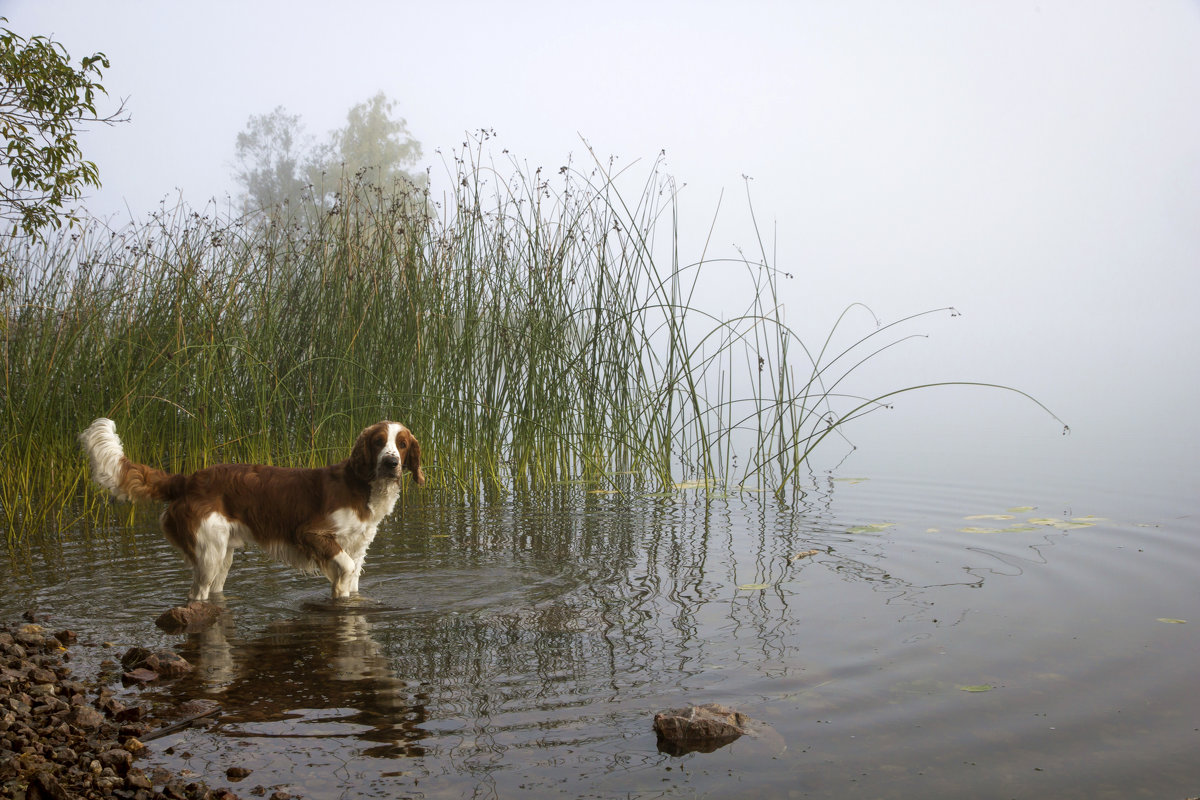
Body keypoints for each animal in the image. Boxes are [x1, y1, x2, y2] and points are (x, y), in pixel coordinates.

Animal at [81, 419, 427, 599]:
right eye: (379, 442)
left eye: (402, 445)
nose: (391, 463)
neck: (362, 485)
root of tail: (187, 478)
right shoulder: (311, 533)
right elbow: (344, 566)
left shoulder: (357, 548)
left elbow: (351, 575)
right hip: (208, 554)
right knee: (197, 594)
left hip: (222, 556)